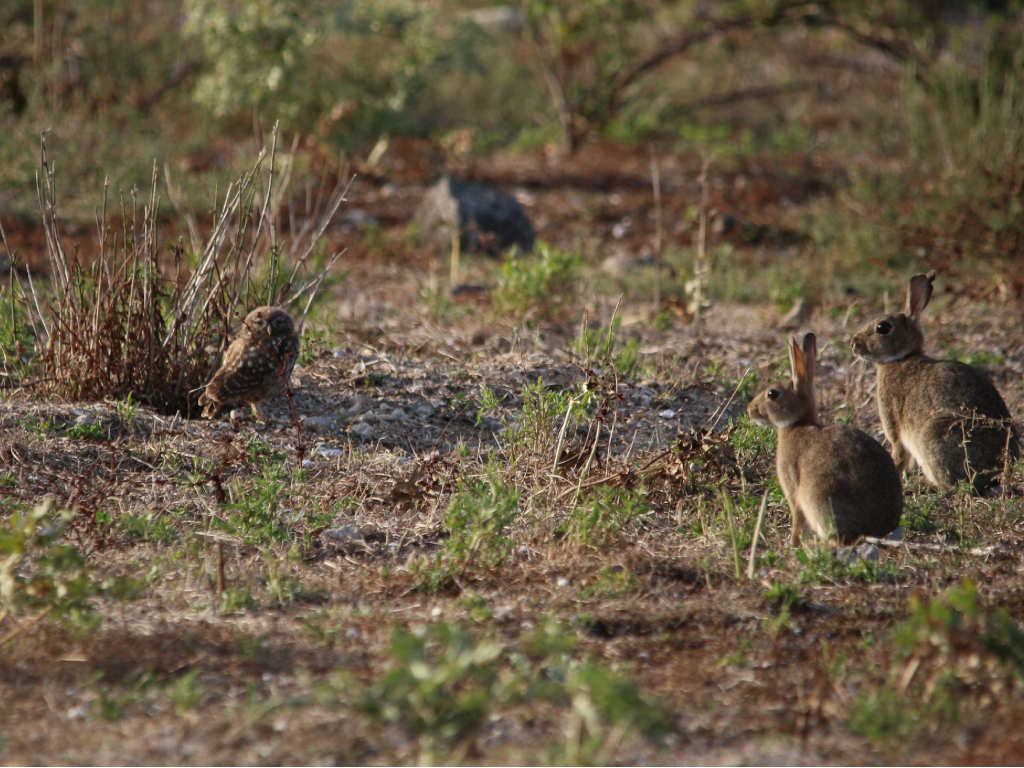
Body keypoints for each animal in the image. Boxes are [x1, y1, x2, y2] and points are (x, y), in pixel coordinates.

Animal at [745, 335, 905, 548]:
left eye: (772, 393)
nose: (750, 410)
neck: (798, 423)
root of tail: (878, 530)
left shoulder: (793, 488)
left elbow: (797, 518)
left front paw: (792, 543)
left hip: (819, 498)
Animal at [847, 274, 1015, 495]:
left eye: (882, 327)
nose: (853, 343)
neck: (902, 358)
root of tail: (999, 470)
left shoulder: (894, 424)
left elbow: (898, 455)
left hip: (934, 435)